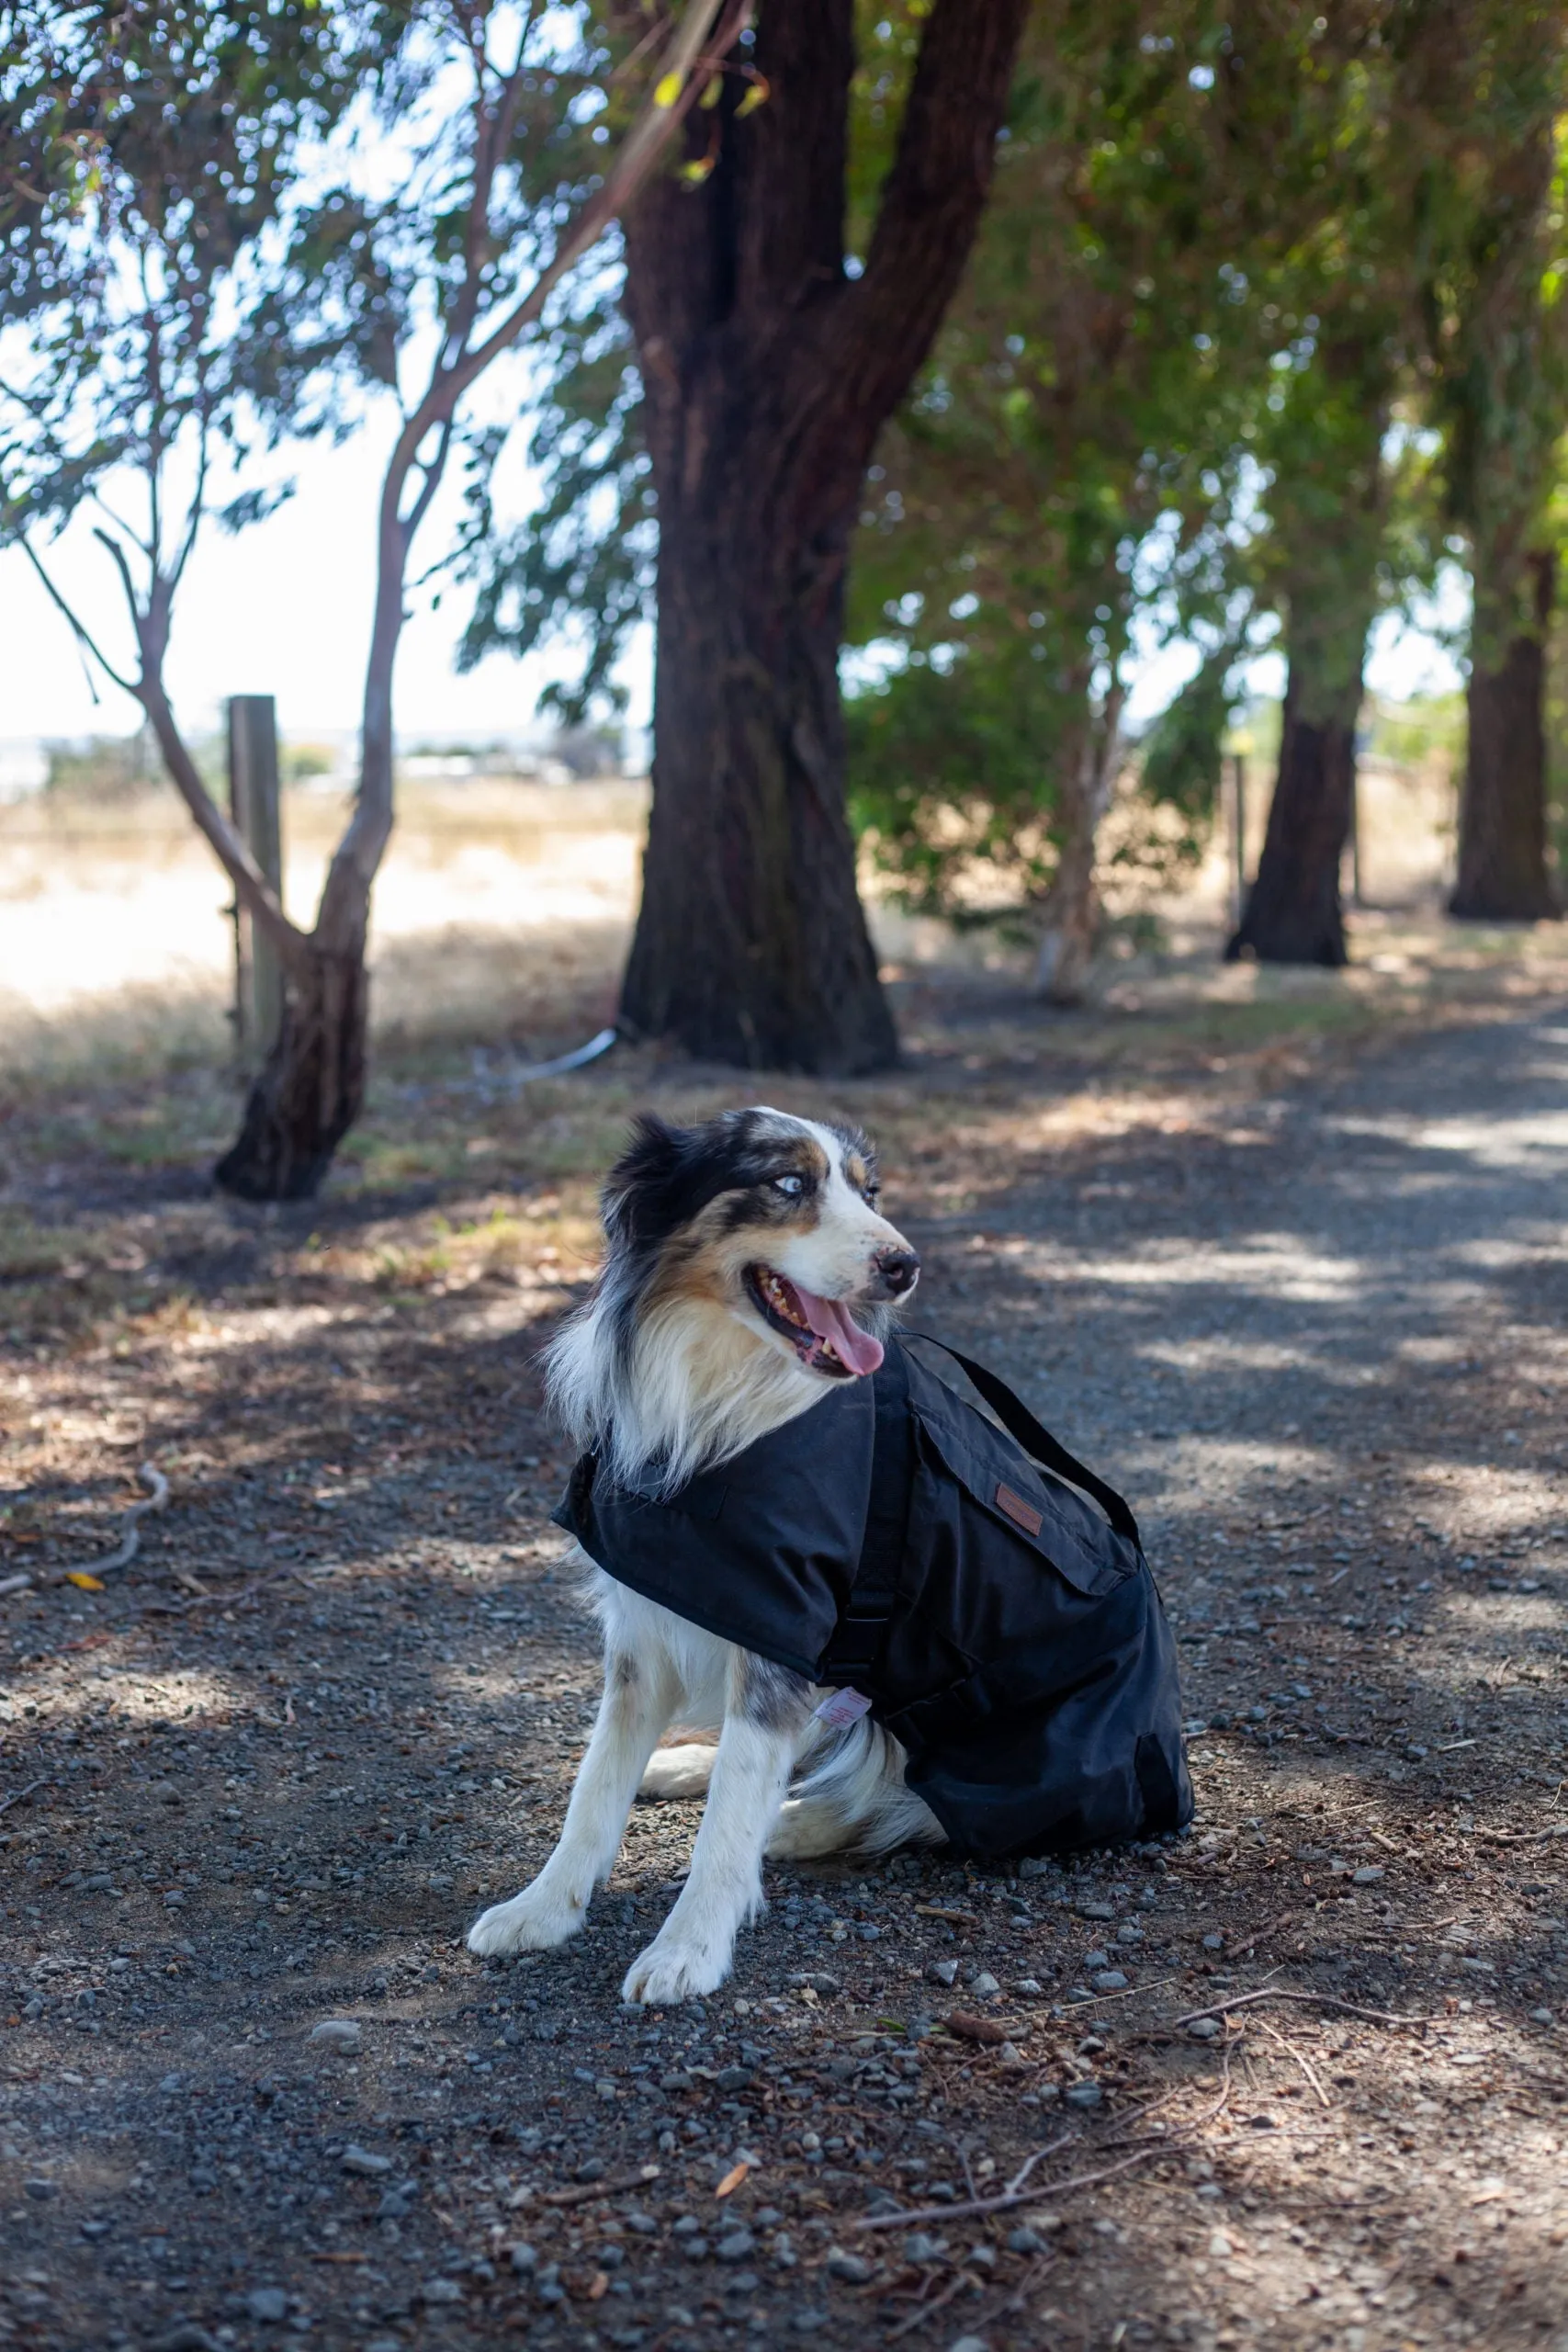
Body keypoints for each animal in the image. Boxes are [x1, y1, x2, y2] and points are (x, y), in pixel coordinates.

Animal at [465, 1101, 944, 2004]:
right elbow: (594, 1786)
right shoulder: (643, 1634)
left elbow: (729, 1820)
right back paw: (688, 1766)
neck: (722, 1390)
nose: (904, 1266)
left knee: (906, 1799)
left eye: (868, 1192)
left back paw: (793, 1823)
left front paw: (687, 1948)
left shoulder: (780, 1630)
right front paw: (542, 1909)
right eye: (787, 1184)